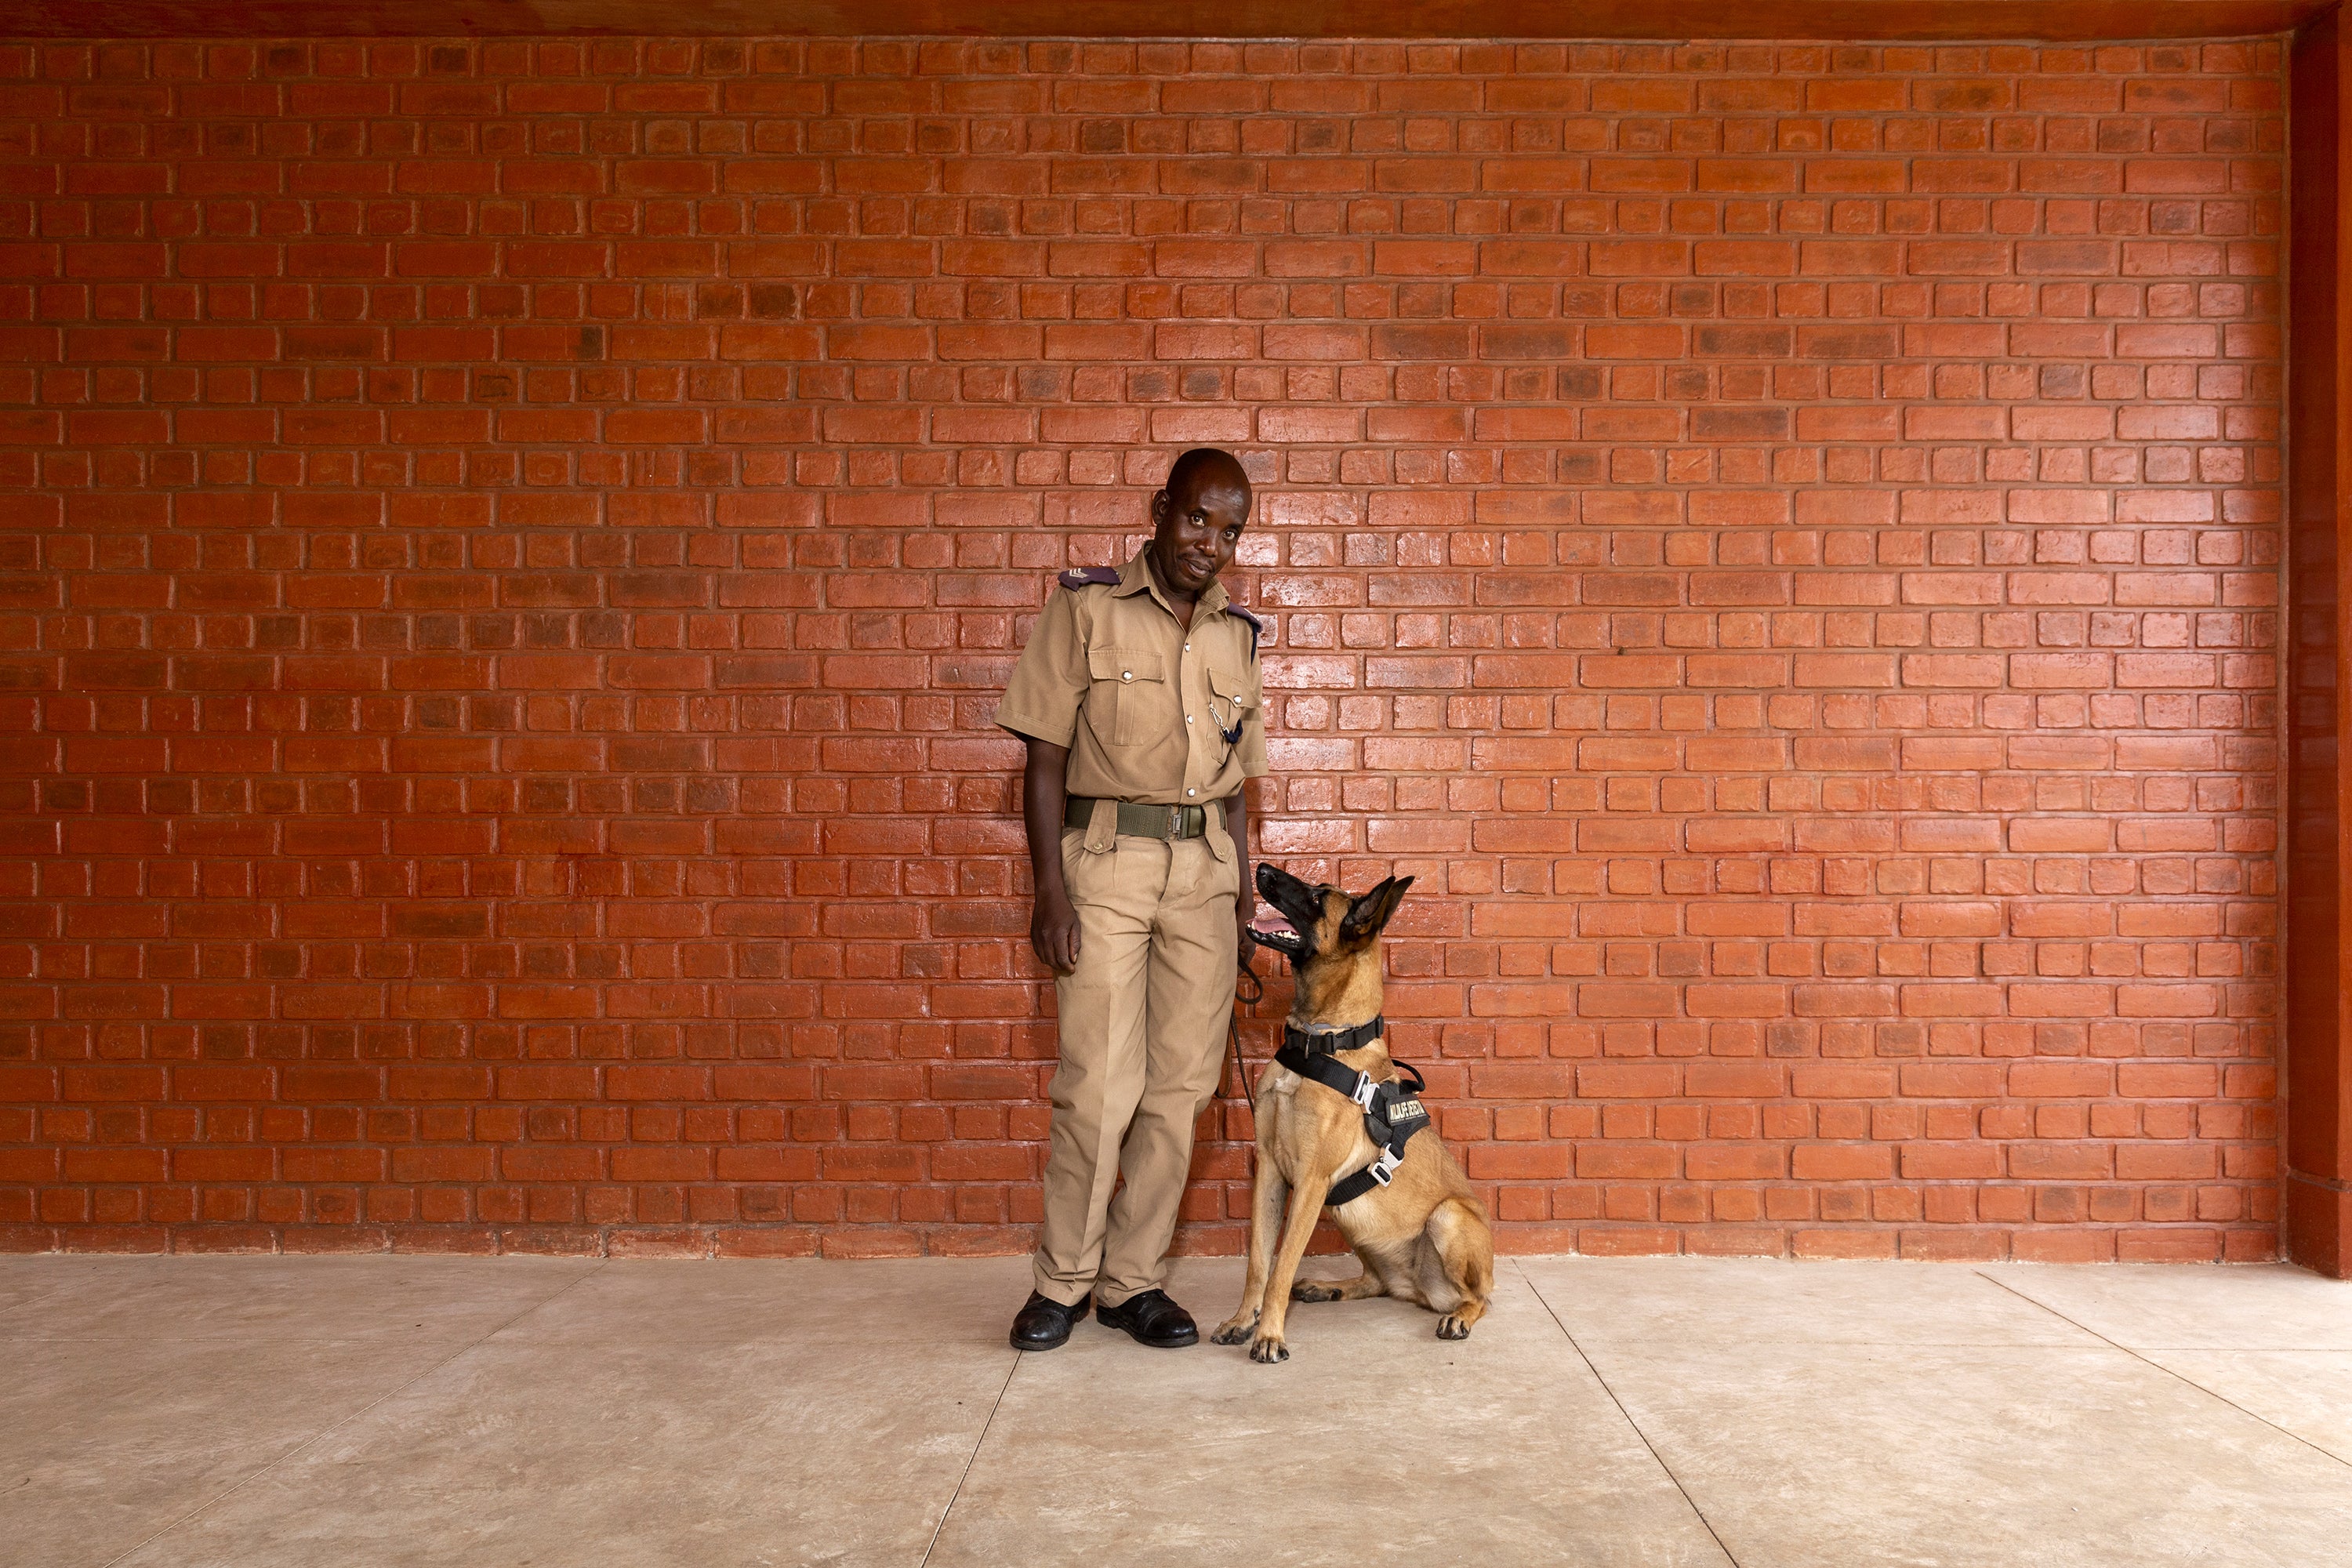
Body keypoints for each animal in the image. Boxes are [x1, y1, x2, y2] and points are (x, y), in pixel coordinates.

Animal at [1214, 865, 1486, 1363]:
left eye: (1318, 898)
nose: (1260, 869)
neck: (1321, 1038)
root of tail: (1421, 1292)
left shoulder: (1311, 1182)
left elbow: (1280, 1266)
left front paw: (1270, 1335)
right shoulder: (1269, 1172)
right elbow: (1258, 1263)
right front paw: (1243, 1321)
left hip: (1446, 1217)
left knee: (1480, 1297)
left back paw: (1458, 1316)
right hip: (1352, 1220)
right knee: (1378, 1282)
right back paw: (1330, 1287)